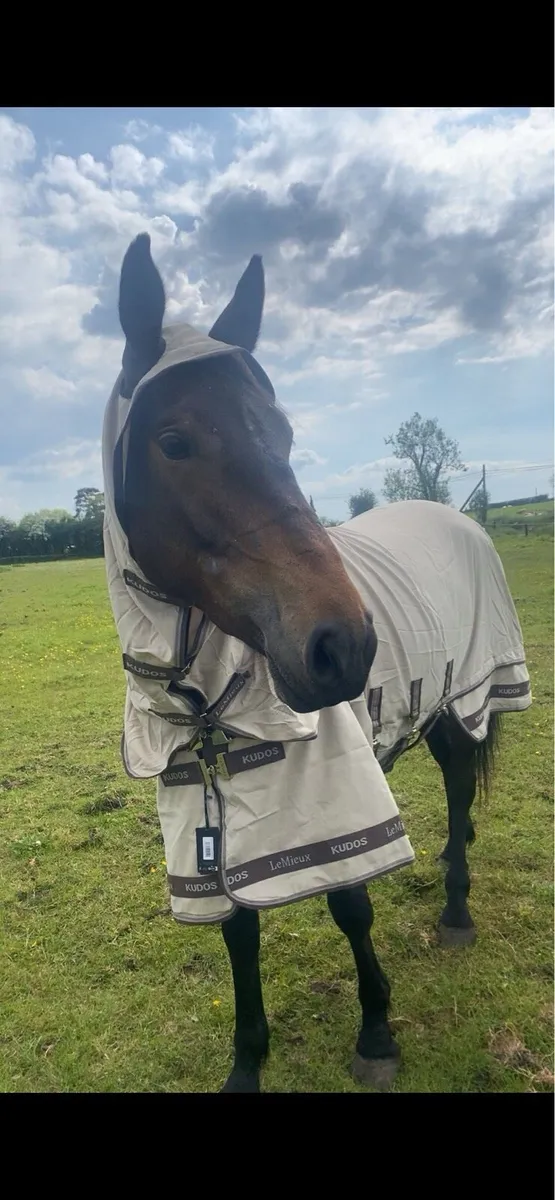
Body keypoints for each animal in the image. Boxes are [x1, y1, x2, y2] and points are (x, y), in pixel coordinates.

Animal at [101, 233, 531, 1093]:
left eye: (283, 434)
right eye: (174, 442)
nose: (344, 644)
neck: (212, 702)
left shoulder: (340, 798)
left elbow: (348, 907)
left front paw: (375, 1032)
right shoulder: (210, 826)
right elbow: (238, 933)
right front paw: (245, 1063)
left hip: (464, 697)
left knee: (459, 783)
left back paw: (456, 908)